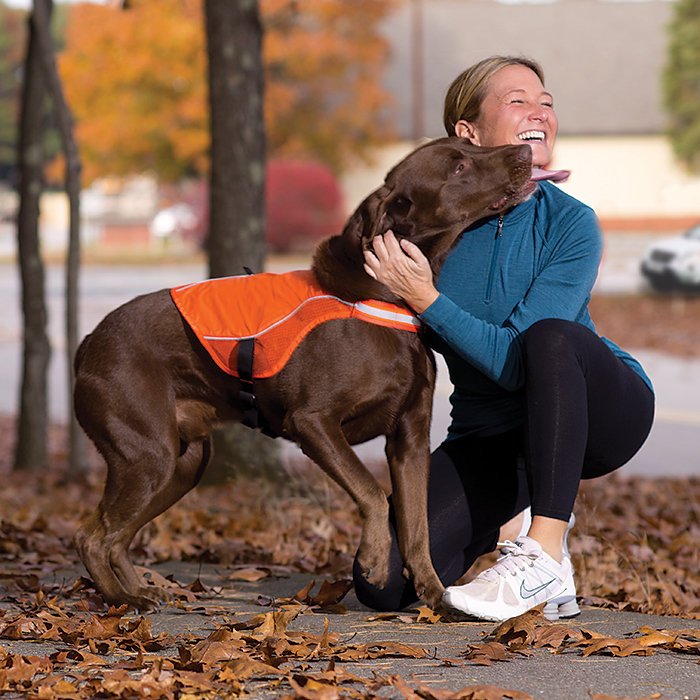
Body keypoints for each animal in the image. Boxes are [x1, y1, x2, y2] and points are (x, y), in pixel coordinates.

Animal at [72, 137, 536, 608]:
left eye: (469, 146)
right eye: (458, 166)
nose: (525, 153)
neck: (387, 296)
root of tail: (88, 343)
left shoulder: (410, 439)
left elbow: (417, 526)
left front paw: (435, 593)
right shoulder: (313, 423)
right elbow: (373, 493)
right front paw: (373, 560)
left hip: (184, 462)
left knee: (117, 536)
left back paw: (137, 592)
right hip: (149, 454)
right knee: (92, 537)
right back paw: (123, 600)